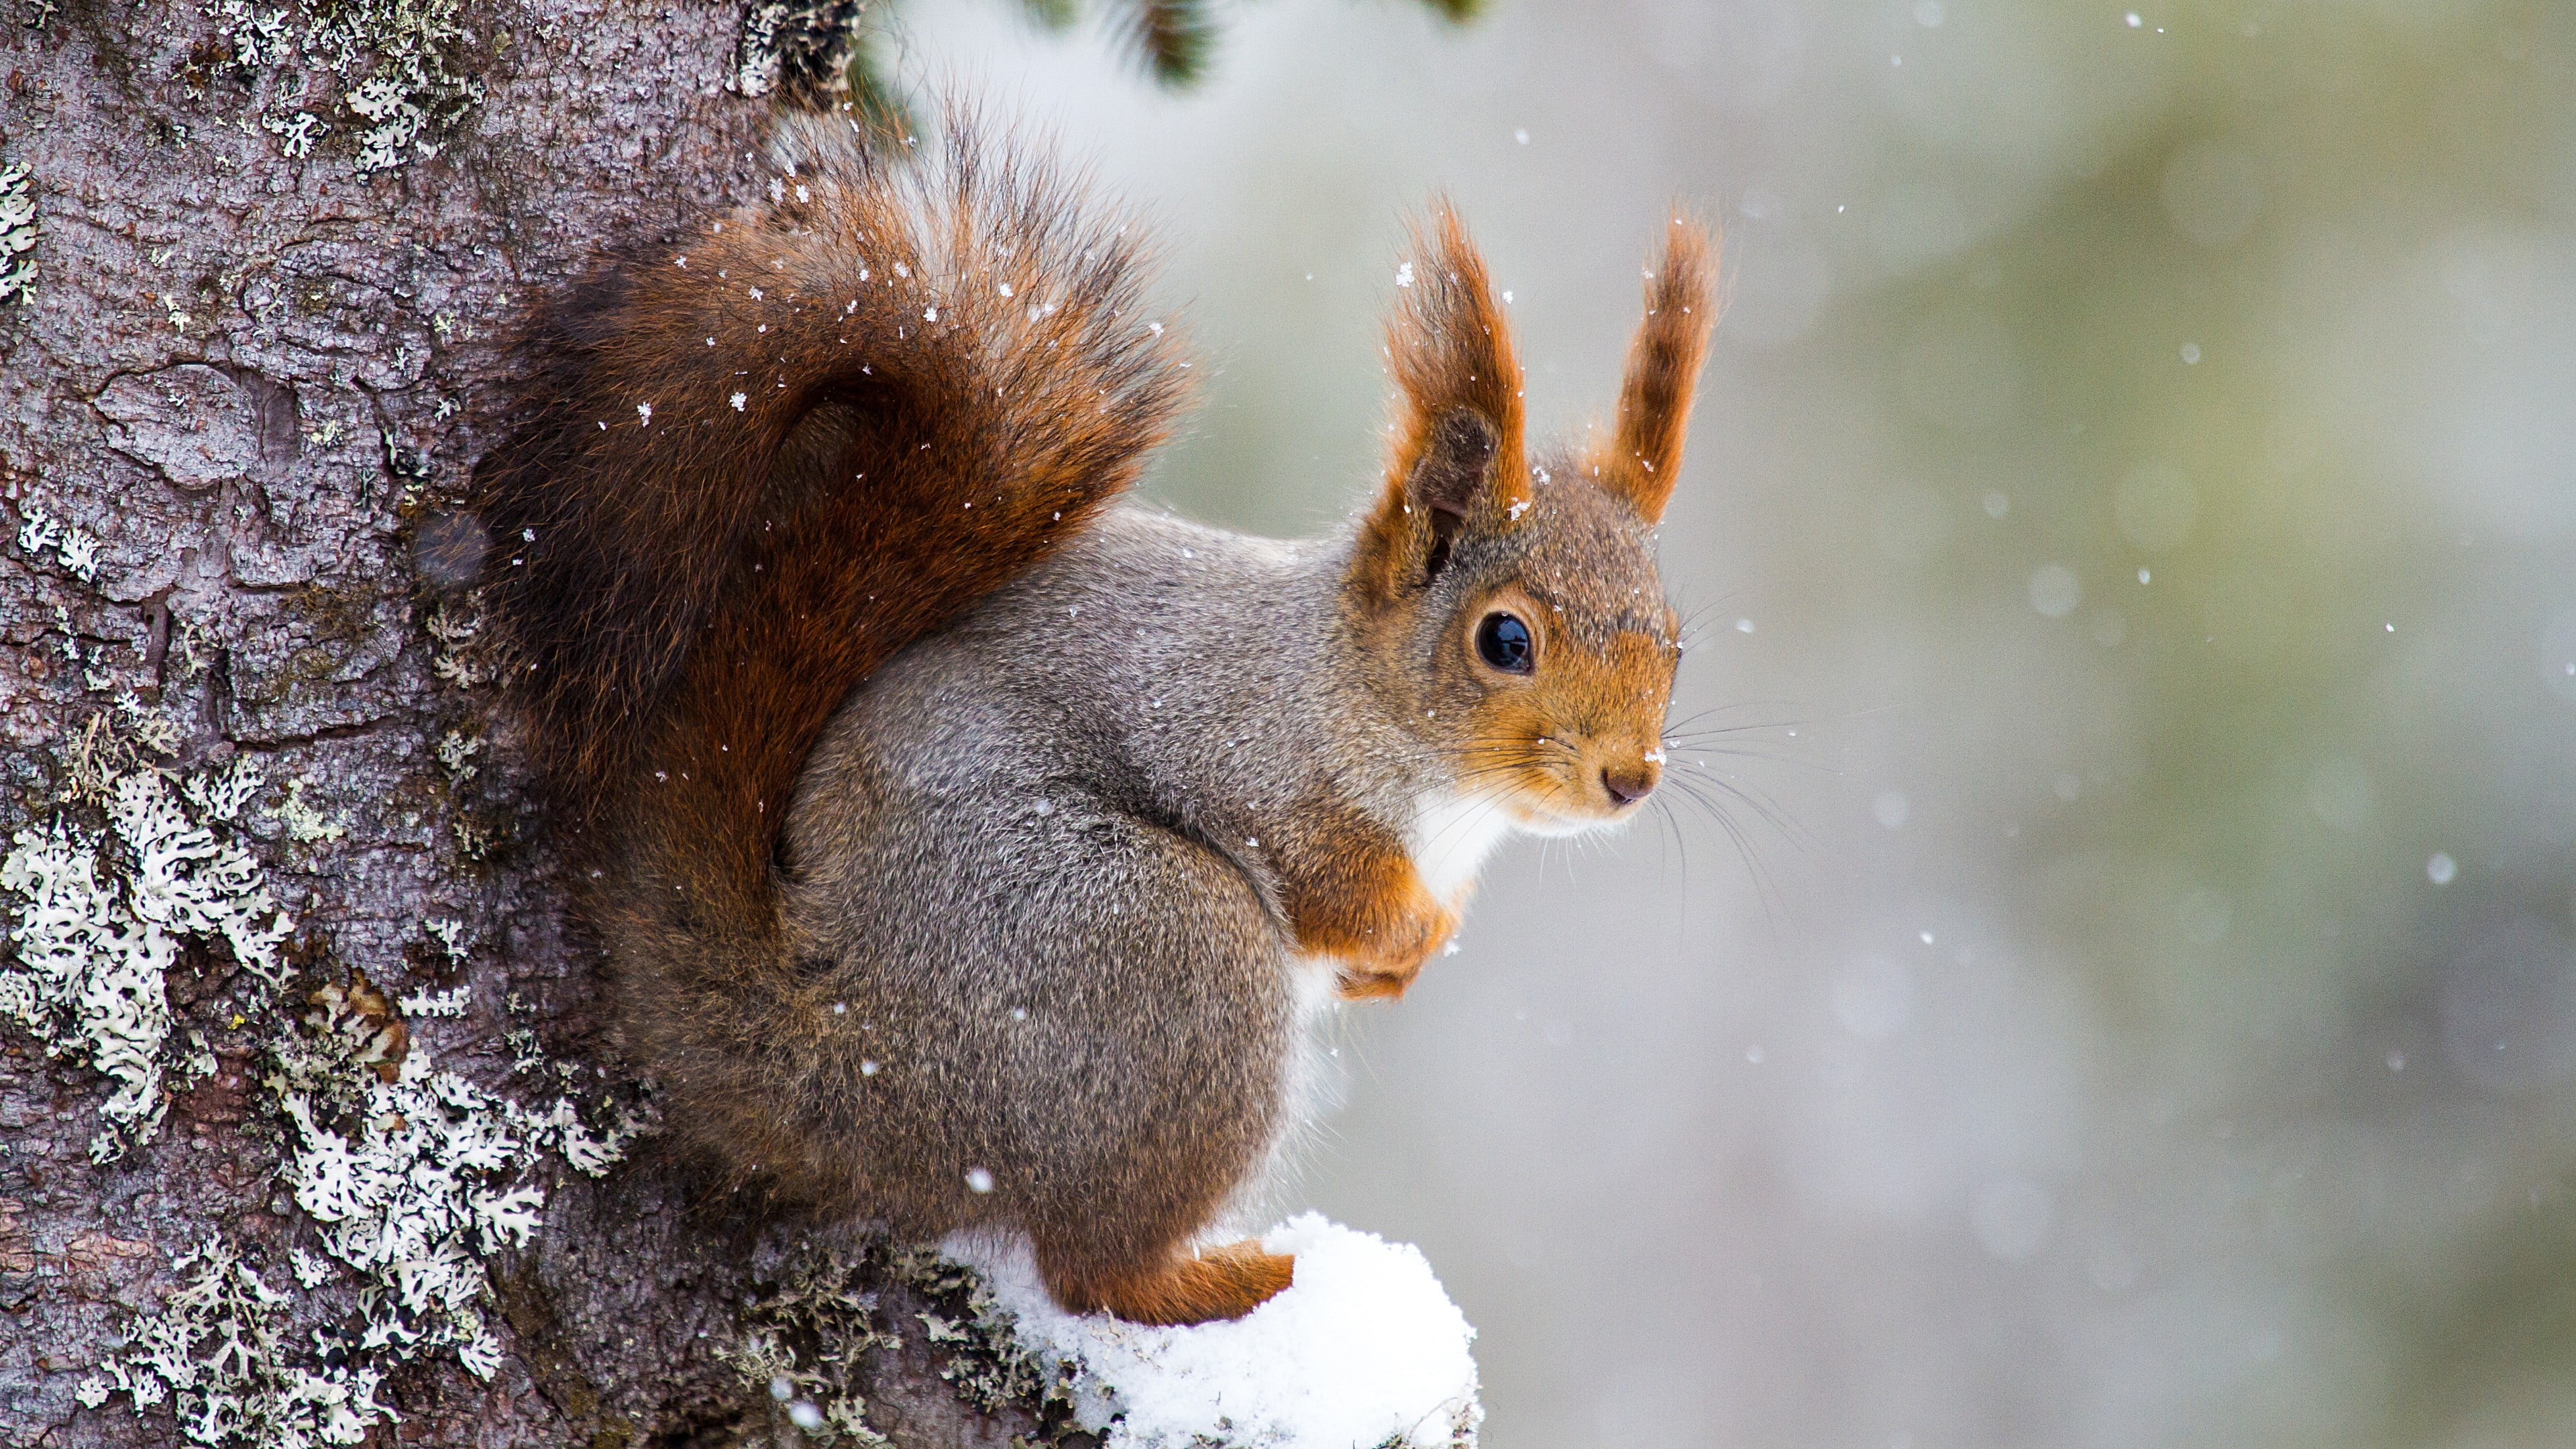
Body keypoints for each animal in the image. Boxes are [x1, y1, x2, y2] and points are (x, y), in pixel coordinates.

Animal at [474, 111, 1713, 1327]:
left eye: (1675, 638)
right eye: (1504, 641)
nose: (1631, 778)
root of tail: (860, 1051)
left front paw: (1408, 961)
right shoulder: (1254, 757)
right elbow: (1331, 884)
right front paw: (1402, 934)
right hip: (1166, 951)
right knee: (1094, 1268)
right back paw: (1228, 1277)